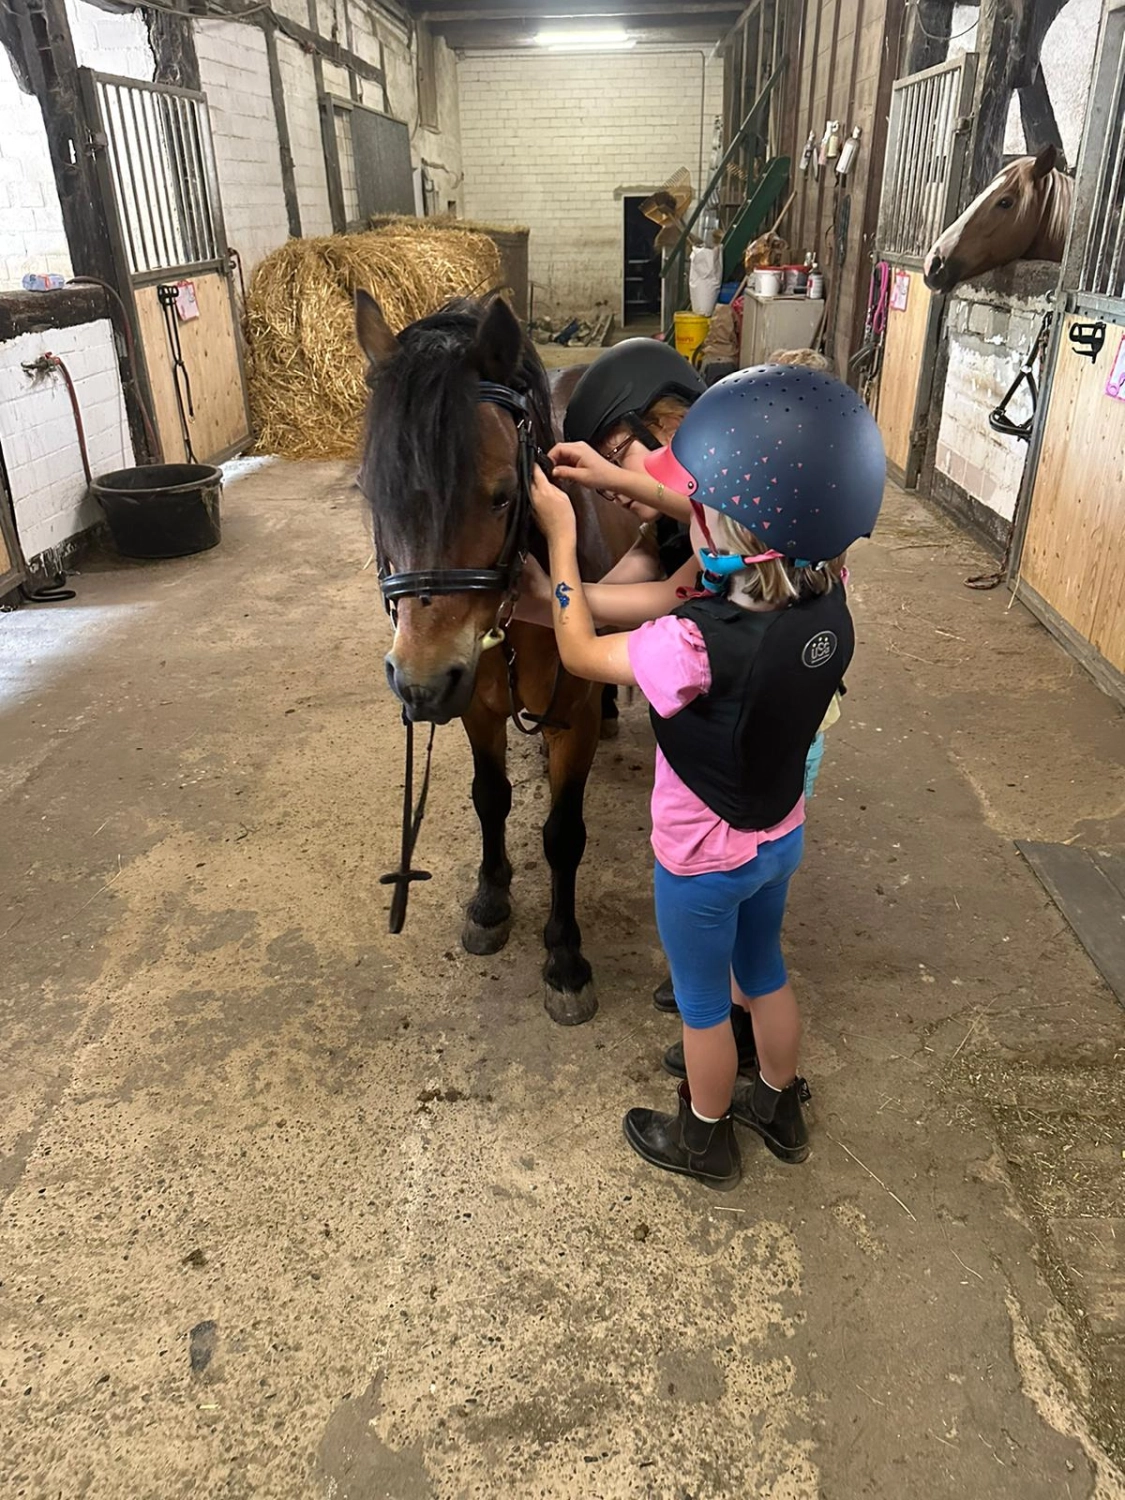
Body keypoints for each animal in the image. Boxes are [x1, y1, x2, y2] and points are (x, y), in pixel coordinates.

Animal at [358, 286, 642, 1026]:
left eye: (502, 495)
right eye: (373, 492)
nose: (419, 683)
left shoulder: (568, 718)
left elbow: (563, 833)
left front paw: (565, 958)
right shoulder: (475, 708)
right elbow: (490, 799)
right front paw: (490, 901)